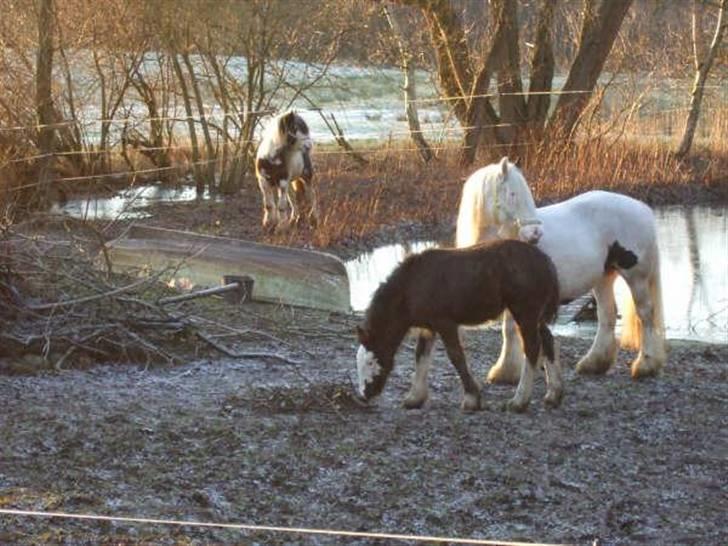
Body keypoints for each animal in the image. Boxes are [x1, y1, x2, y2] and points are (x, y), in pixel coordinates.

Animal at [354, 239, 562, 413]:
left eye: (371, 361)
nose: (364, 396)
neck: (413, 285)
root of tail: (546, 261)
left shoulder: (445, 323)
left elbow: (456, 356)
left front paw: (472, 399)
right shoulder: (428, 327)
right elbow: (421, 356)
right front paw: (414, 398)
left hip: (525, 312)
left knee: (533, 347)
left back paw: (519, 402)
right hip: (535, 316)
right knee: (547, 341)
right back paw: (553, 395)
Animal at [455, 157, 666, 384]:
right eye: (512, 194)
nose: (536, 233)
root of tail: (642, 208)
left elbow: (510, 329)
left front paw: (505, 371)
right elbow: (510, 330)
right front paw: (508, 371)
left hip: (636, 277)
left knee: (645, 313)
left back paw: (645, 365)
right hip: (603, 278)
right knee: (607, 315)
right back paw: (594, 364)